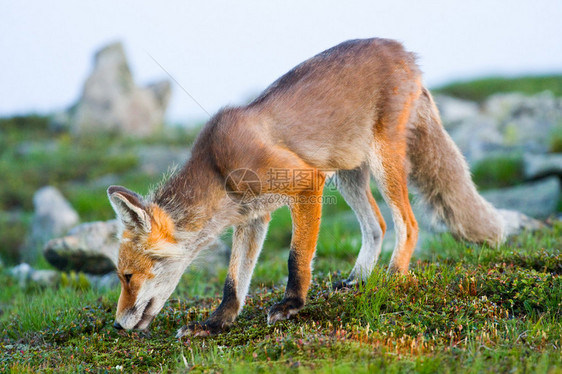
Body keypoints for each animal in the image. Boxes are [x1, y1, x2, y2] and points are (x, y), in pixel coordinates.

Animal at [107, 38, 500, 336]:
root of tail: (403, 50)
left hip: (382, 162)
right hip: (348, 174)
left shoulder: (306, 183)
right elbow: (234, 282)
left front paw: (292, 304)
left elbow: (296, 258)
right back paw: (359, 279)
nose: (116, 326)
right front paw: (216, 323)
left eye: (127, 276)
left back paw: (392, 279)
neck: (218, 169)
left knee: (409, 224)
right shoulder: (253, 217)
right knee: (377, 225)